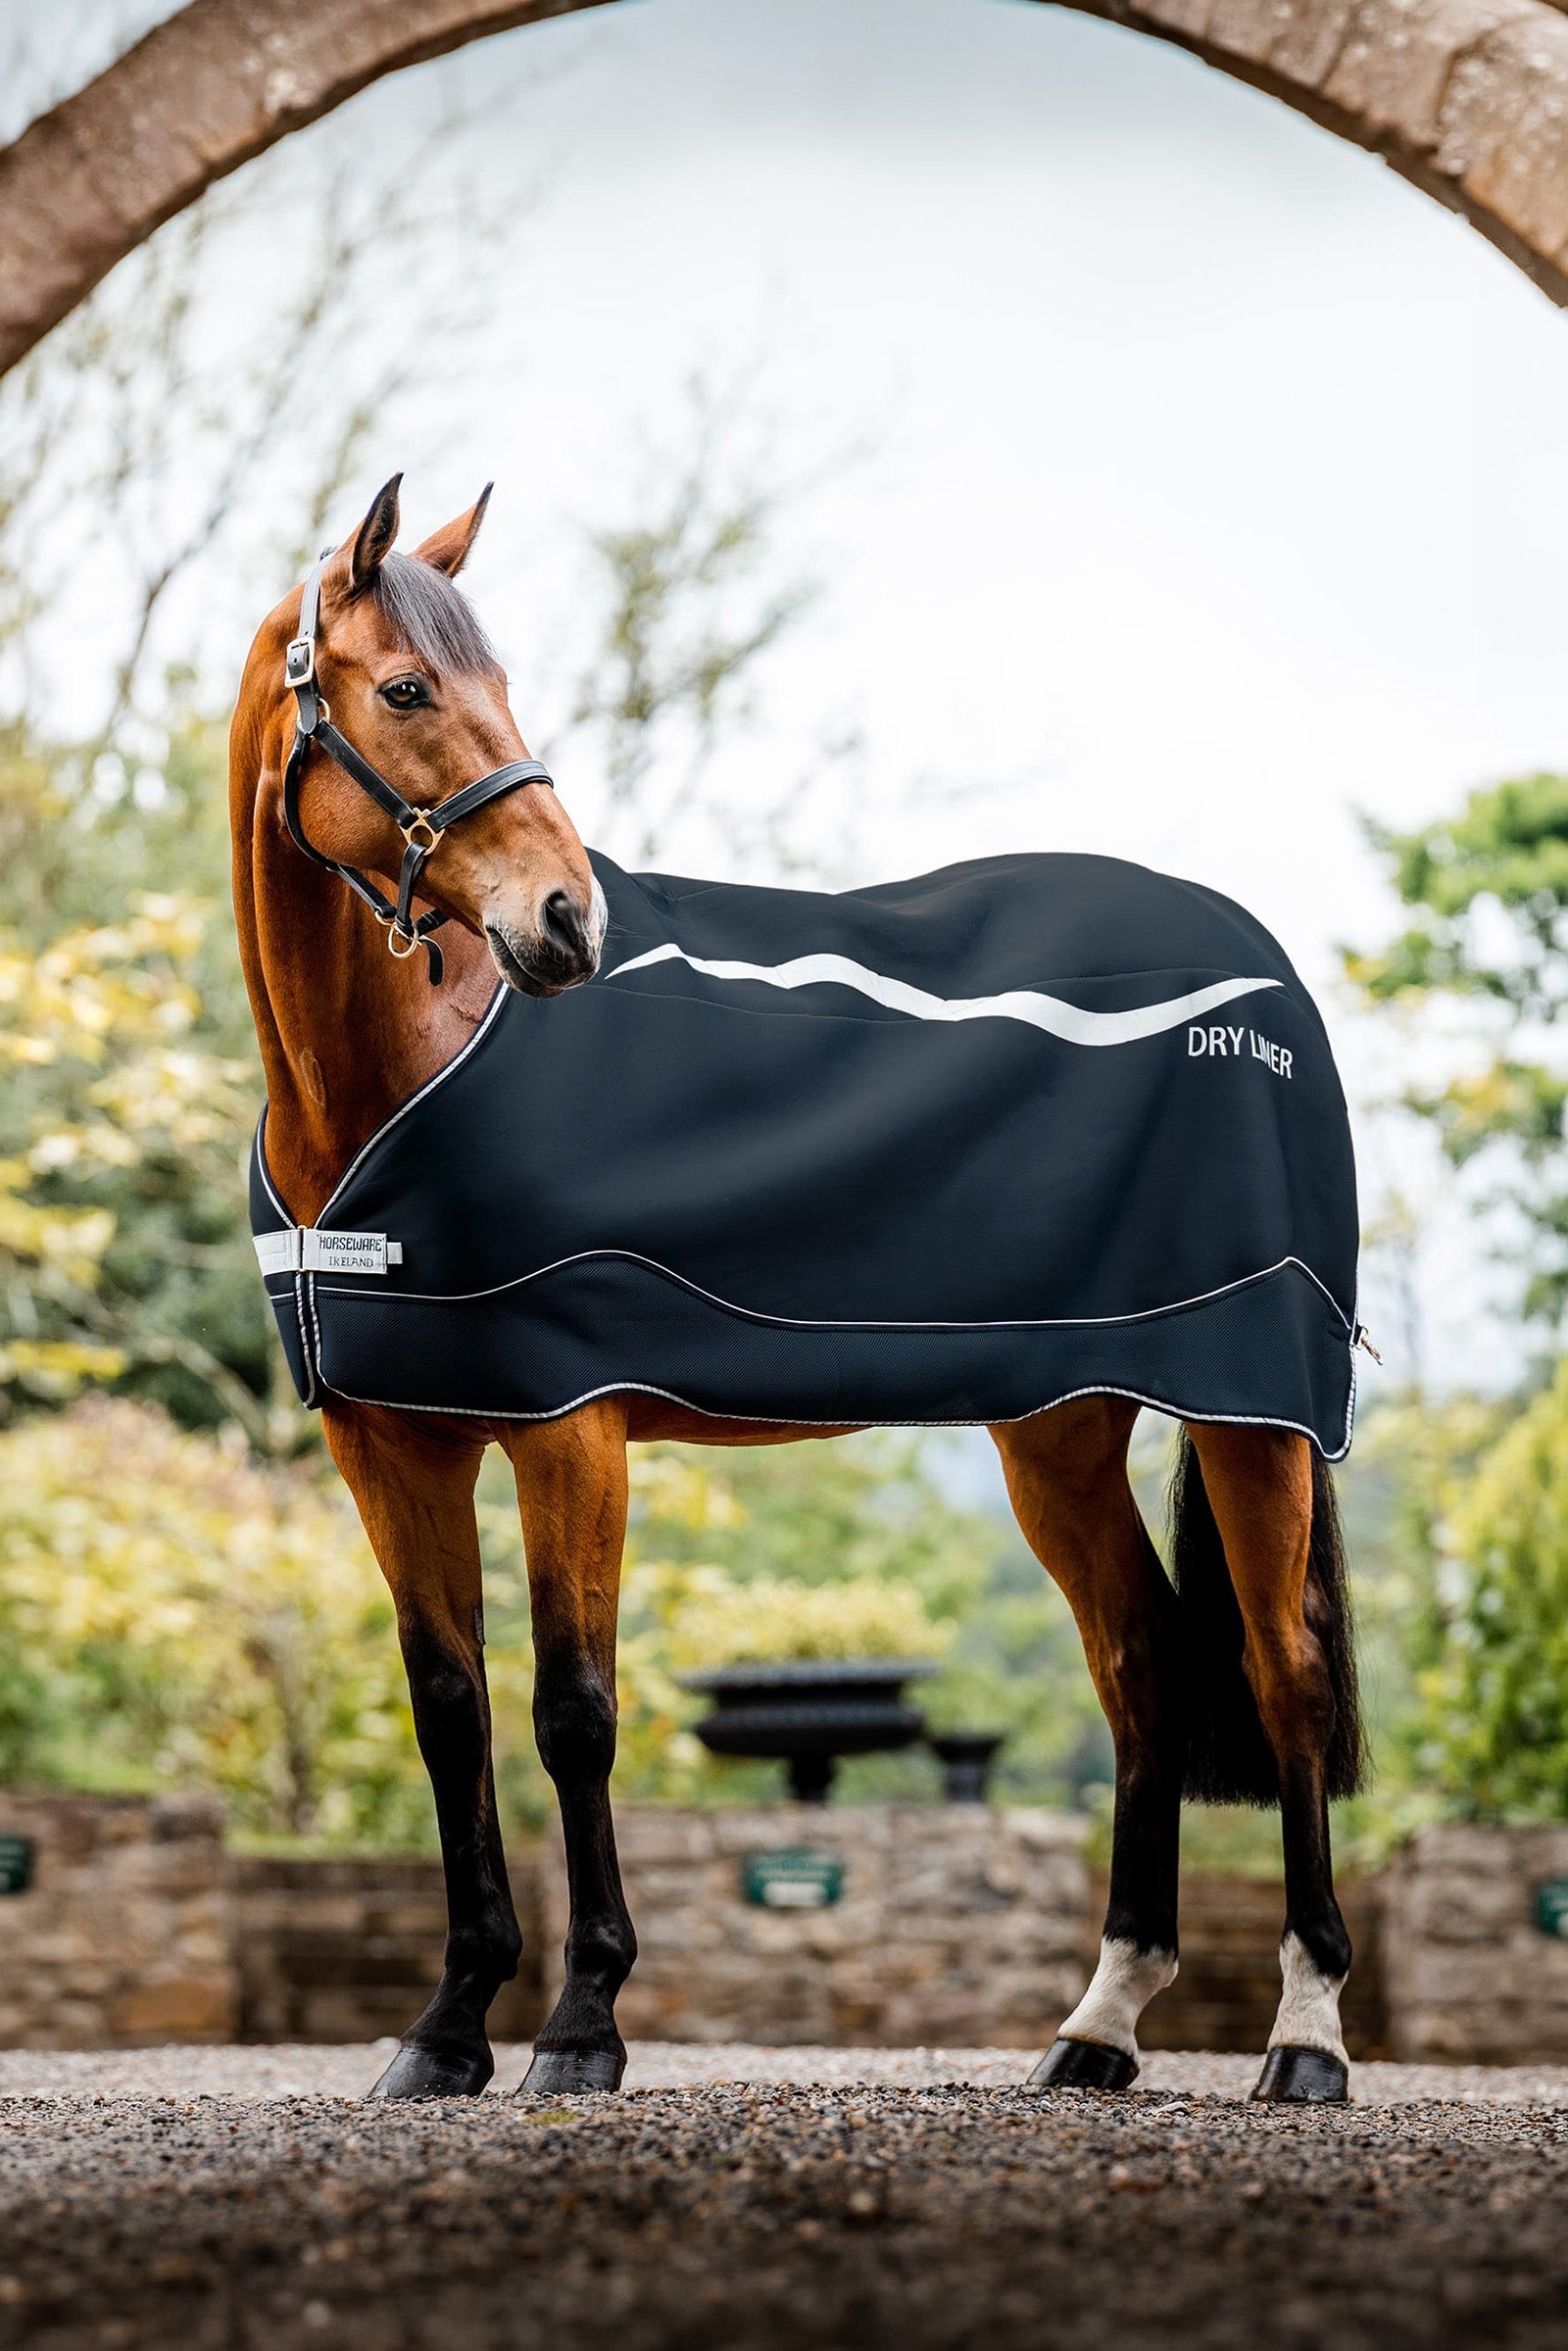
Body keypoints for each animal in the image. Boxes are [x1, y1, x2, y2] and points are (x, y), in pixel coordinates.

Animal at [230, 475, 1364, 2106]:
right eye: (403, 689)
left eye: (496, 680)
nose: (568, 922)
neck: (390, 1081)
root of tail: (1259, 969)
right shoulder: (390, 1444)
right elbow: (452, 1714)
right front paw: (444, 2029)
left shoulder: (572, 1429)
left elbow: (573, 1710)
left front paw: (581, 2024)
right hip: (1061, 1428)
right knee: (1142, 1665)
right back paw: (1097, 2026)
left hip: (1250, 1411)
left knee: (1285, 1677)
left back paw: (1306, 2036)